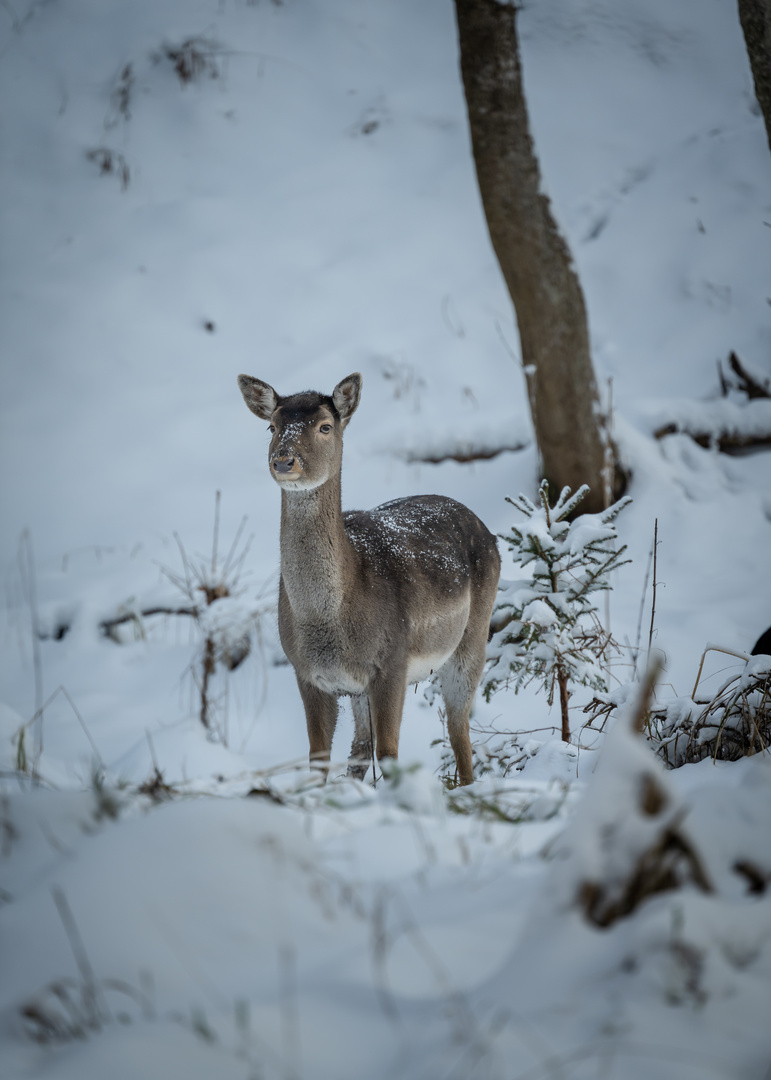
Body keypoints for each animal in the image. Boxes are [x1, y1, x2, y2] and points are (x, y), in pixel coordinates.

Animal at [235, 371, 498, 786]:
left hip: (473, 637)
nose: (284, 460)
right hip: (361, 691)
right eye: (272, 426)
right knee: (359, 749)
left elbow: (390, 754)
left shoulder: (392, 662)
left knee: (459, 729)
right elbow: (318, 759)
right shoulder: (307, 673)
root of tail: (488, 530)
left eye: (325, 426)